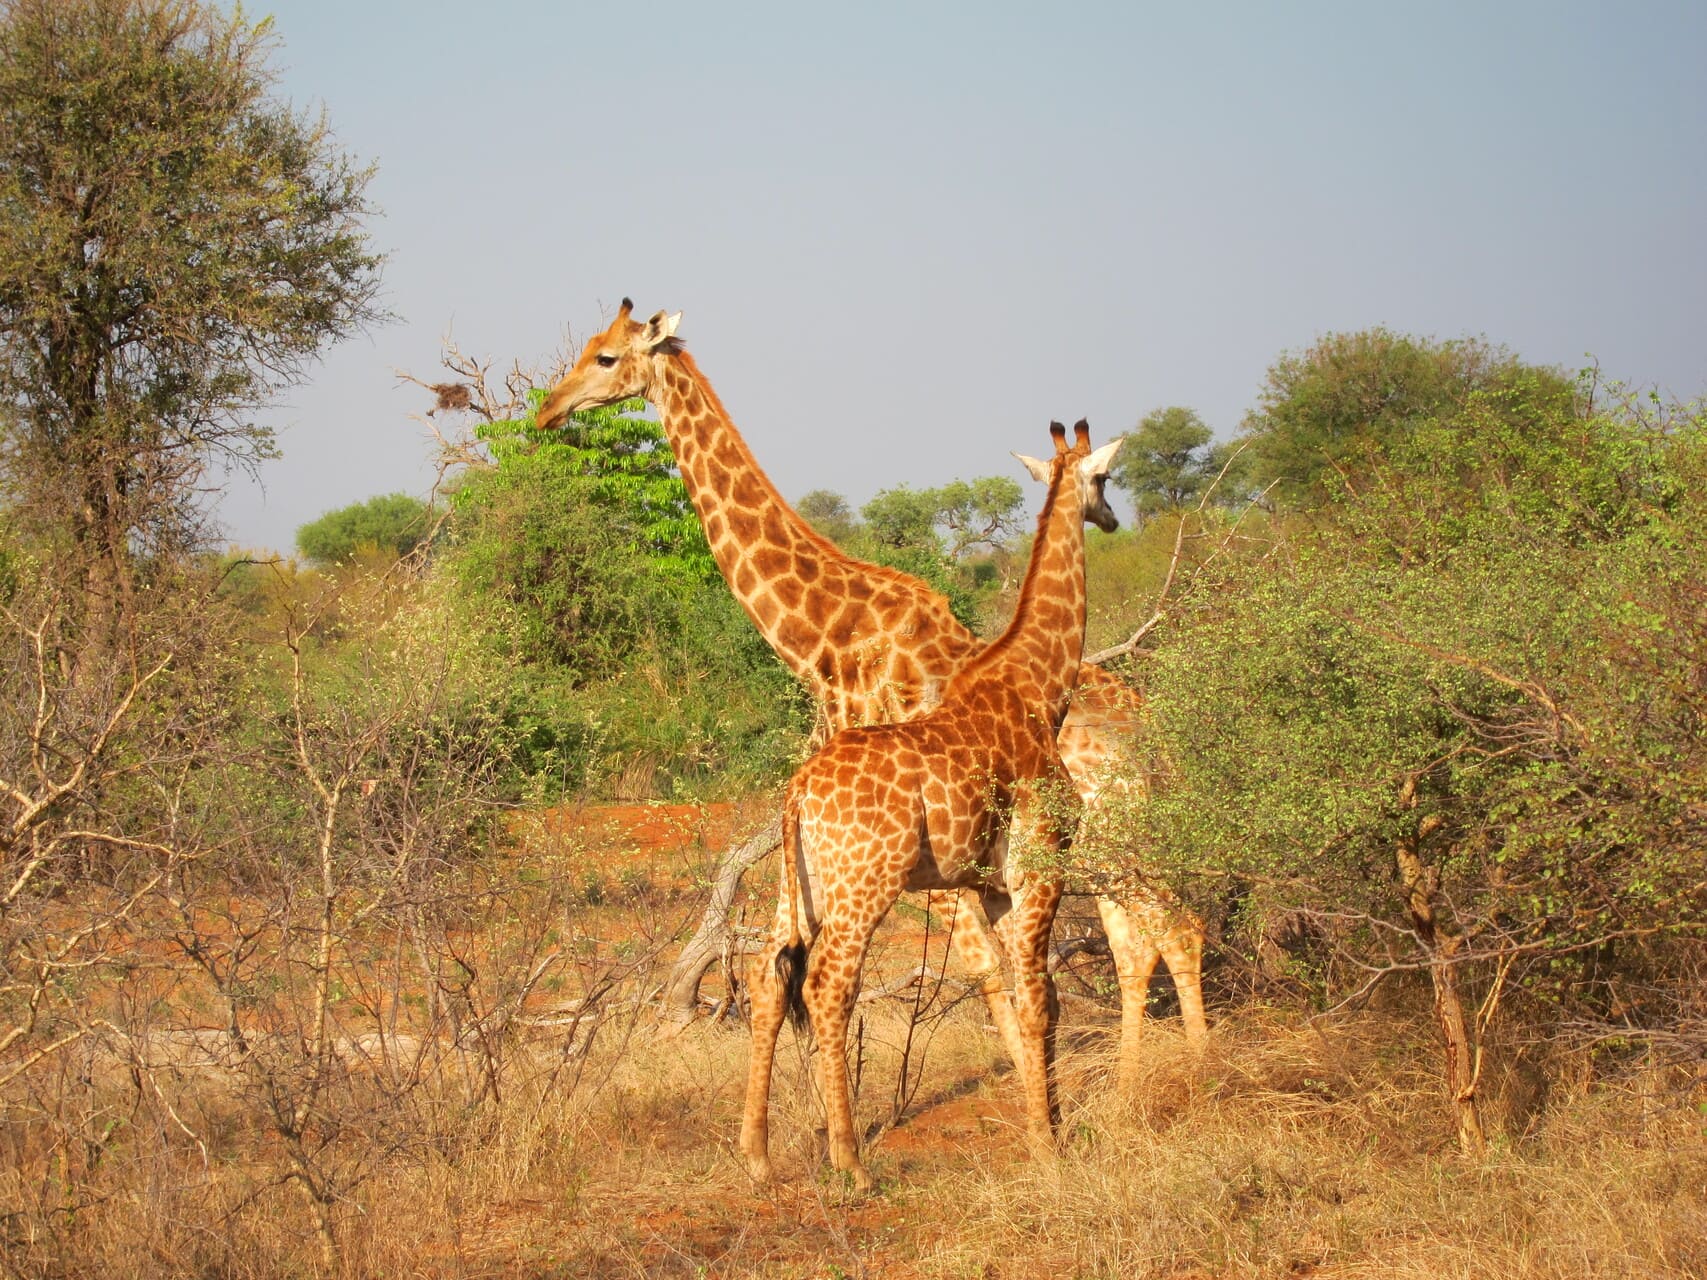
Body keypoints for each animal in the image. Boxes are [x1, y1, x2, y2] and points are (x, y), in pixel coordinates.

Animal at [539, 303, 1208, 1092]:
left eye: (607, 358)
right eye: (588, 346)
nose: (549, 410)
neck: (824, 640)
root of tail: (1149, 723)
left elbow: (981, 972)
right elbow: (787, 970)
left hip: (1103, 833)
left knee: (1169, 927)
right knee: (1141, 937)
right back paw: (1140, 1082)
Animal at [744, 421, 1119, 1194]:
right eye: (1103, 479)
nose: (1113, 518)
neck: (1040, 687)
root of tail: (798, 792)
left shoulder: (995, 885)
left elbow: (1028, 993)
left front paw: (1051, 1121)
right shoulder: (1041, 866)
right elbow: (1038, 998)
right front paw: (1047, 1143)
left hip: (798, 888)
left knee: (766, 978)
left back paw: (757, 1156)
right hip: (865, 884)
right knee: (828, 986)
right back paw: (849, 1162)